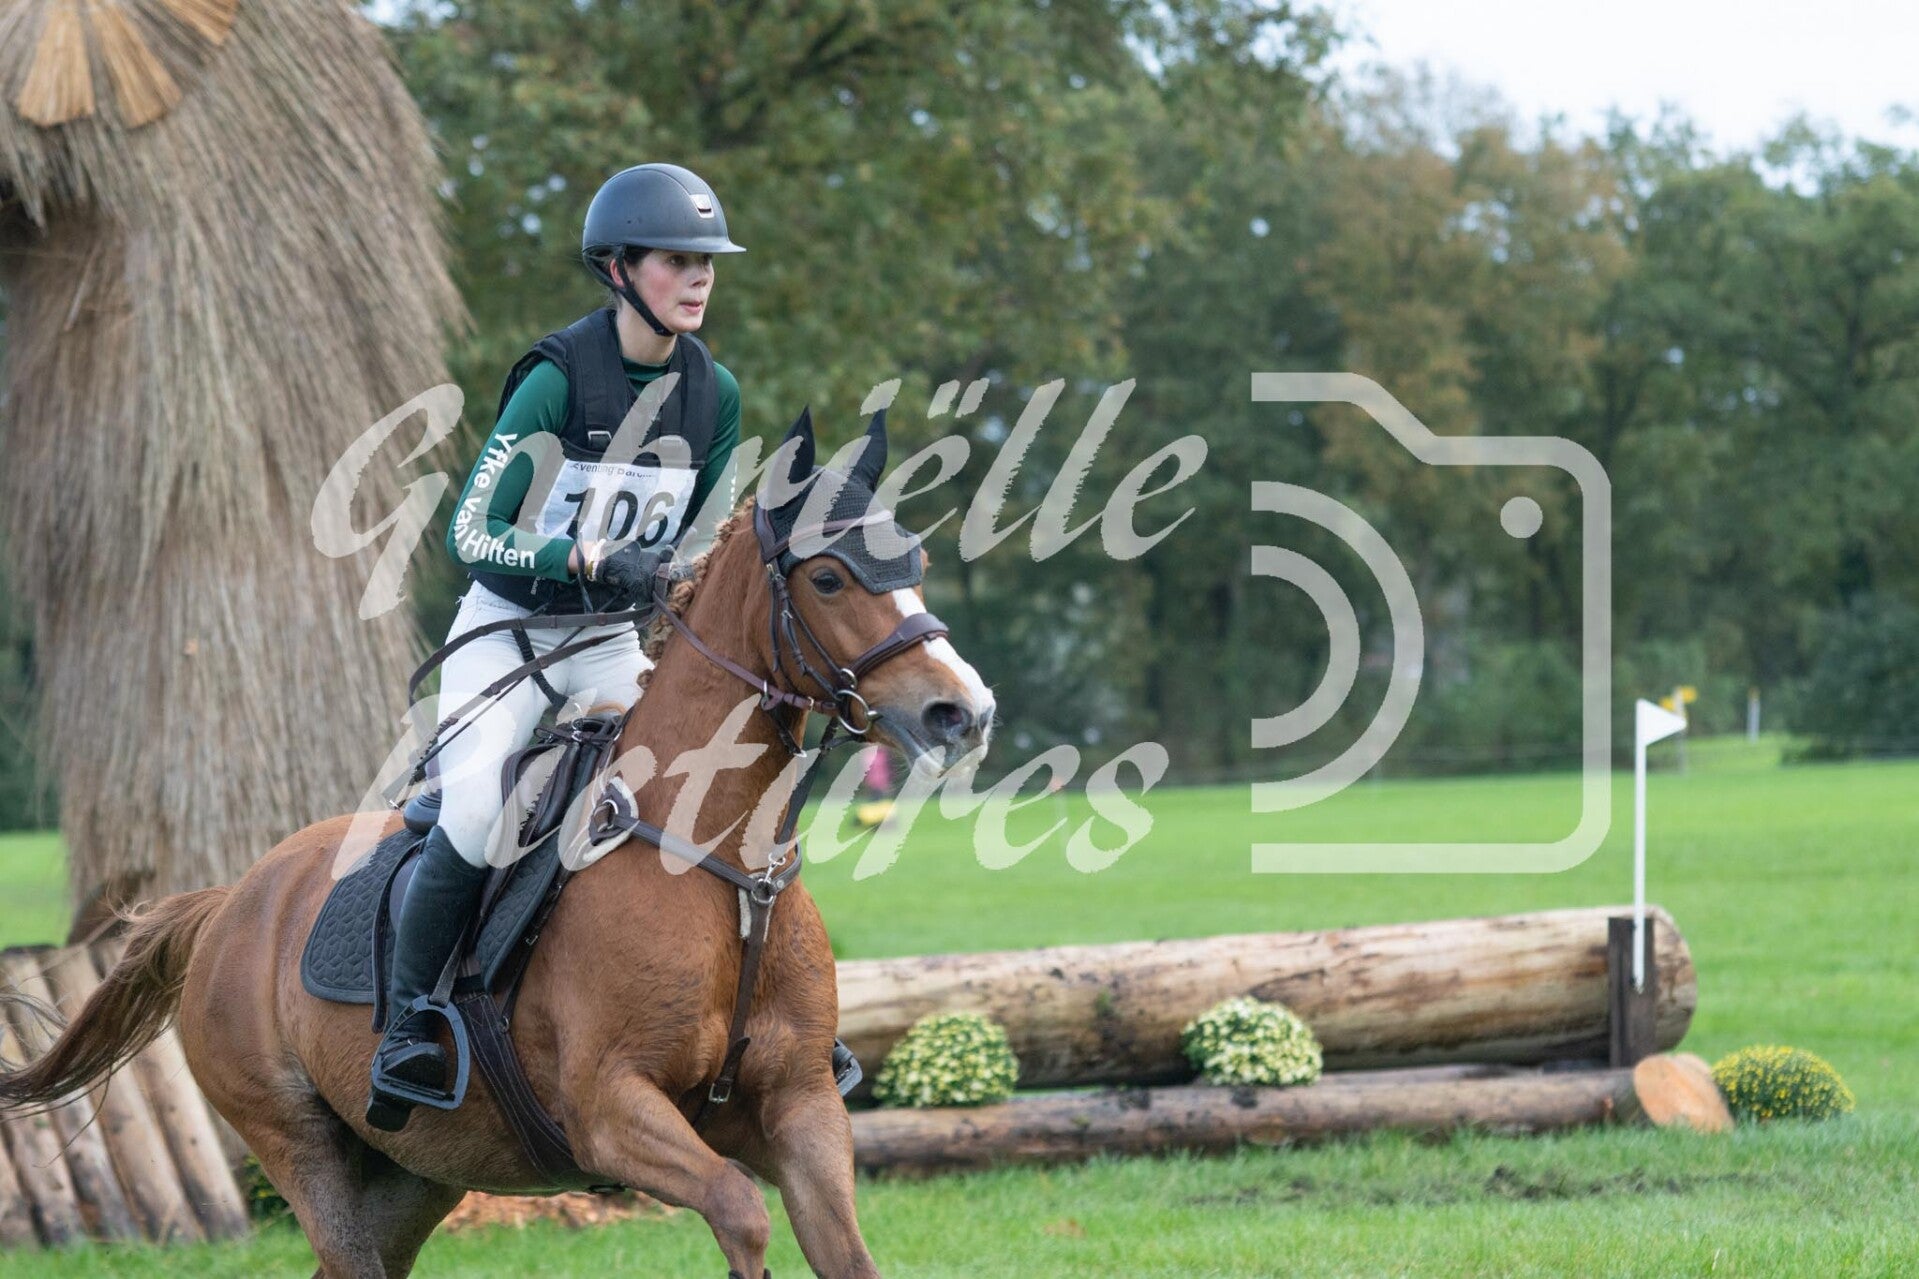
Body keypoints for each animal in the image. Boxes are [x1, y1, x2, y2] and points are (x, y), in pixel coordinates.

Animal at [0, 407, 995, 1278]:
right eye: (827, 578)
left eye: (916, 560)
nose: (963, 711)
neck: (717, 858)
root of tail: (228, 904)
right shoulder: (612, 1111)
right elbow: (740, 1213)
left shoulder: (800, 1105)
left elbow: (844, 1250)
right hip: (299, 1145)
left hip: (416, 1170)